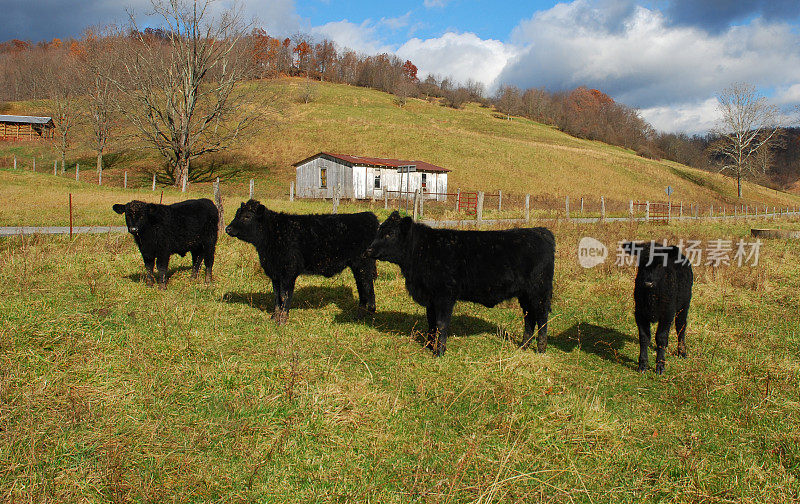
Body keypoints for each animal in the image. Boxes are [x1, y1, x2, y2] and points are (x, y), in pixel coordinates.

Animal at [223, 199, 376, 324]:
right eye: (237, 214)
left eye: (247, 216)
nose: (227, 228)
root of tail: (367, 216)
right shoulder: (275, 273)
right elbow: (276, 296)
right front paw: (274, 317)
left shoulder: (288, 272)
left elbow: (285, 295)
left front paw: (282, 320)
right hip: (358, 267)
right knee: (362, 287)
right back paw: (360, 314)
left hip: (363, 265)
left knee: (367, 286)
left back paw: (368, 314)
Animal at [366, 211, 552, 356]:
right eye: (379, 230)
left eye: (389, 234)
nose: (368, 250)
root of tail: (541, 231)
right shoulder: (431, 298)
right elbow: (431, 323)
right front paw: (429, 346)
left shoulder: (444, 295)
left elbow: (441, 324)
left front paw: (439, 352)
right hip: (525, 295)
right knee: (529, 318)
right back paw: (523, 347)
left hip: (539, 291)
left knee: (541, 318)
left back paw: (540, 349)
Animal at [620, 240, 692, 374]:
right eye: (641, 262)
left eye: (660, 264)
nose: (648, 283)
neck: (651, 296)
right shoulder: (640, 313)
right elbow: (644, 338)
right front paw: (642, 364)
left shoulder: (667, 313)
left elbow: (661, 337)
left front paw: (660, 365)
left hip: (684, 305)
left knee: (681, 327)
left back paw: (682, 352)